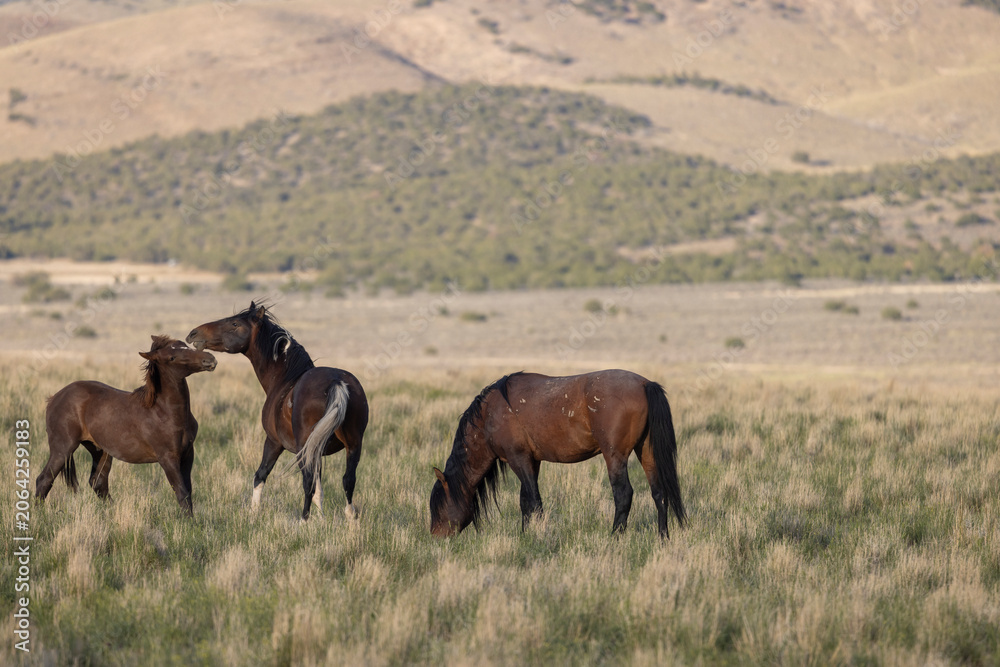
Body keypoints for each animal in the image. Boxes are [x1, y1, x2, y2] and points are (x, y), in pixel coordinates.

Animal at [35, 335, 217, 515]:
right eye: (171, 357)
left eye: (185, 344)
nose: (210, 359)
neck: (164, 412)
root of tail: (54, 398)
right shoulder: (168, 458)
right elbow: (181, 491)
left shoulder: (187, 454)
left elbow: (188, 492)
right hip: (63, 448)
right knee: (44, 479)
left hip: (100, 450)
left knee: (98, 482)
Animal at [186, 301, 368, 520]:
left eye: (235, 323)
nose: (194, 334)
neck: (285, 378)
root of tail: (336, 381)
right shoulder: (317, 450)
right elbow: (320, 491)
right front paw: (322, 520)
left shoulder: (273, 442)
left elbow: (260, 475)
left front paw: (253, 513)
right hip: (353, 445)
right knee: (348, 480)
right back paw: (350, 518)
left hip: (304, 447)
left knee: (307, 481)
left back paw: (303, 520)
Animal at [429, 370, 686, 538]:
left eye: (437, 506)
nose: (436, 538)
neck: (490, 415)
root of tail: (645, 383)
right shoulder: (532, 461)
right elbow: (525, 501)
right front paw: (525, 535)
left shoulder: (518, 459)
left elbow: (534, 501)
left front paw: (538, 536)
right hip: (646, 451)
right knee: (659, 492)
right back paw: (663, 538)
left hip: (615, 456)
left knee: (624, 494)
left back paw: (614, 537)